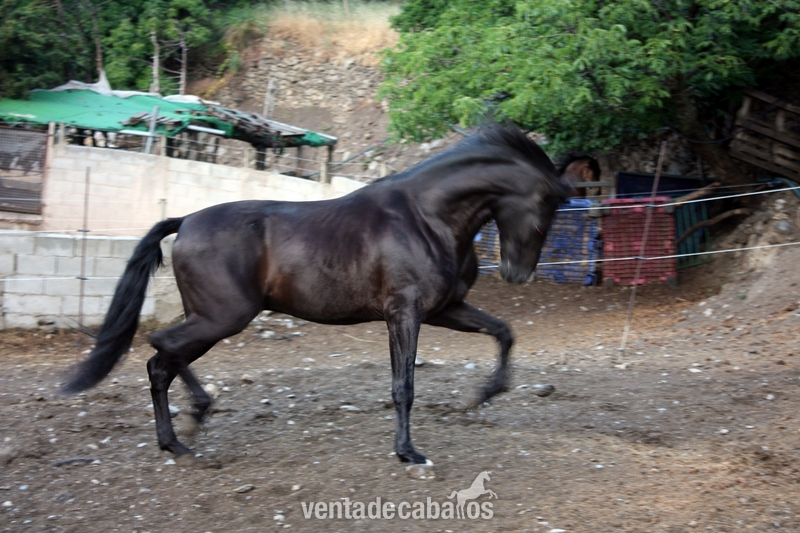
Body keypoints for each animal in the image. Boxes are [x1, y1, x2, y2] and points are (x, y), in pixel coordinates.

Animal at [61, 122, 573, 466]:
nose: (517, 274)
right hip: (222, 318)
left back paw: (178, 439)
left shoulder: (444, 309)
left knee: (161, 363)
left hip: (208, 320)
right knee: (160, 348)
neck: (426, 217)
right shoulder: (403, 313)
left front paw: (483, 395)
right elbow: (403, 385)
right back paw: (193, 420)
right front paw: (408, 452)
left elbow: (503, 332)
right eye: (547, 206)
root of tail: (184, 221)